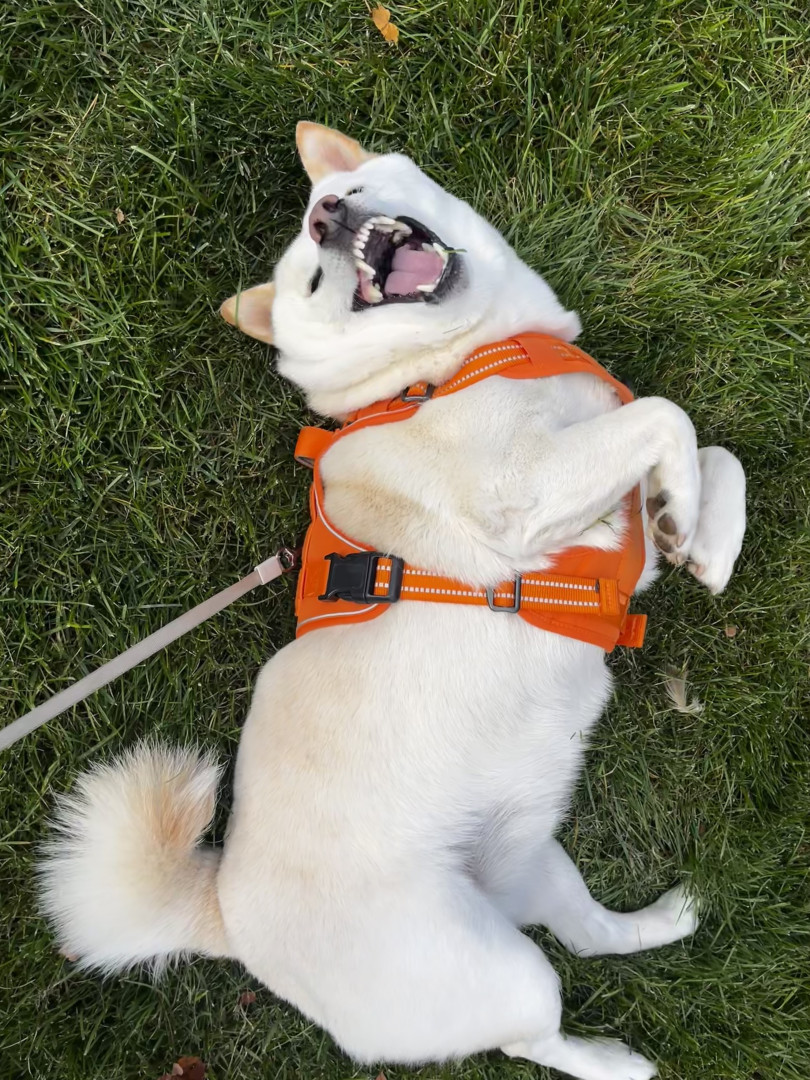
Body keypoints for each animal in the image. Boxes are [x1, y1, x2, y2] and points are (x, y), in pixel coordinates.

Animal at [40, 122, 746, 1080]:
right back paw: (614, 1061)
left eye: (352, 190)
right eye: (311, 278)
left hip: (533, 862)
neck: (441, 364)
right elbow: (670, 416)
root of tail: (226, 918)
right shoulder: (522, 491)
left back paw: (669, 920)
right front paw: (682, 508)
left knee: (589, 935)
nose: (326, 213)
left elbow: (715, 455)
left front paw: (697, 533)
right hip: (495, 967)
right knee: (533, 1031)